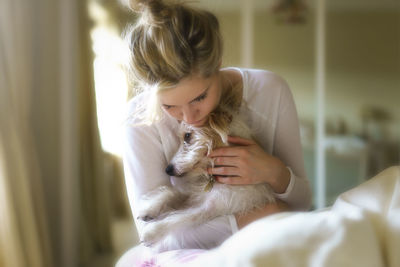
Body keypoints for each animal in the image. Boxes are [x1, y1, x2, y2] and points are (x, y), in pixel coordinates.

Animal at [138, 90, 276, 251]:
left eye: (187, 136)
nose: (168, 169)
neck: (213, 177)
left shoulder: (209, 209)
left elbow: (179, 218)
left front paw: (152, 232)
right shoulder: (192, 192)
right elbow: (171, 192)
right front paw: (149, 208)